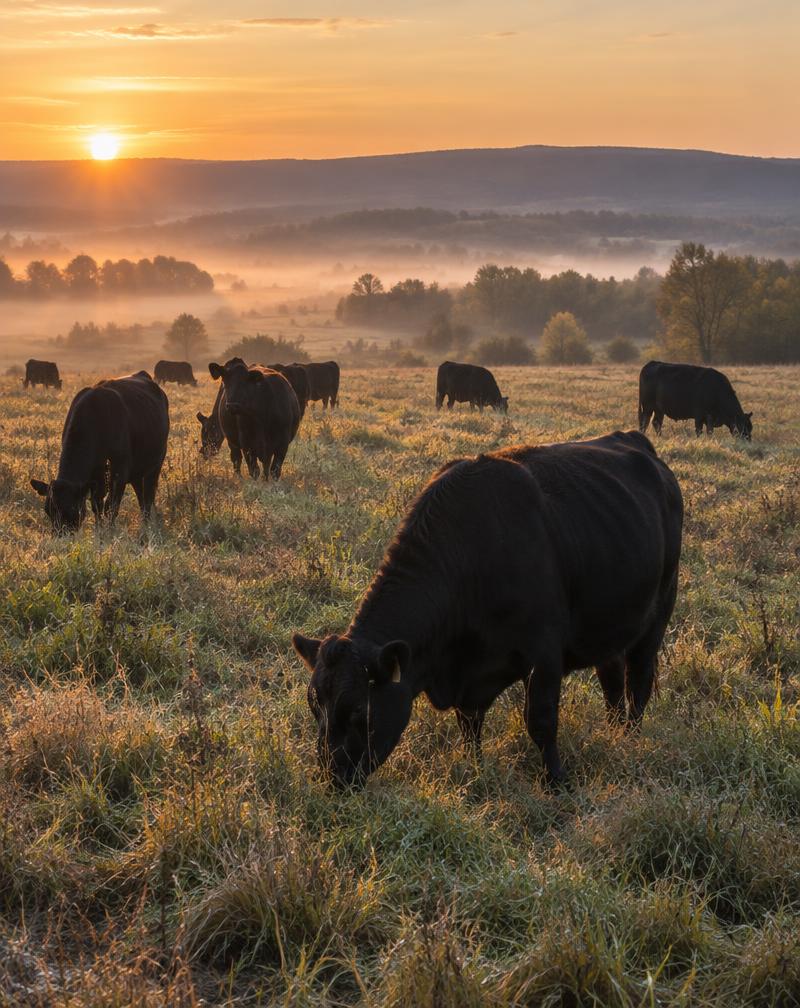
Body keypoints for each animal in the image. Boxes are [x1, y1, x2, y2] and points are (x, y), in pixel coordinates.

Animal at [30, 371, 169, 532]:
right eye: (48, 510)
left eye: (72, 509)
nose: (61, 534)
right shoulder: (95, 476)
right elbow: (97, 505)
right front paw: (99, 529)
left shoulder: (120, 471)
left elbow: (111, 506)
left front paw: (110, 530)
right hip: (136, 471)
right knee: (141, 496)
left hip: (155, 464)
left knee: (148, 496)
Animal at [293, 430, 683, 791]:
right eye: (315, 706)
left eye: (360, 710)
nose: (333, 778)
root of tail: (635, 442)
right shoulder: (469, 675)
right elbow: (469, 723)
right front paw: (474, 768)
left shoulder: (544, 654)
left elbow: (541, 720)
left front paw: (556, 781)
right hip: (610, 627)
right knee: (612, 679)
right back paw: (614, 734)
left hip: (658, 614)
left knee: (639, 681)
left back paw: (630, 740)